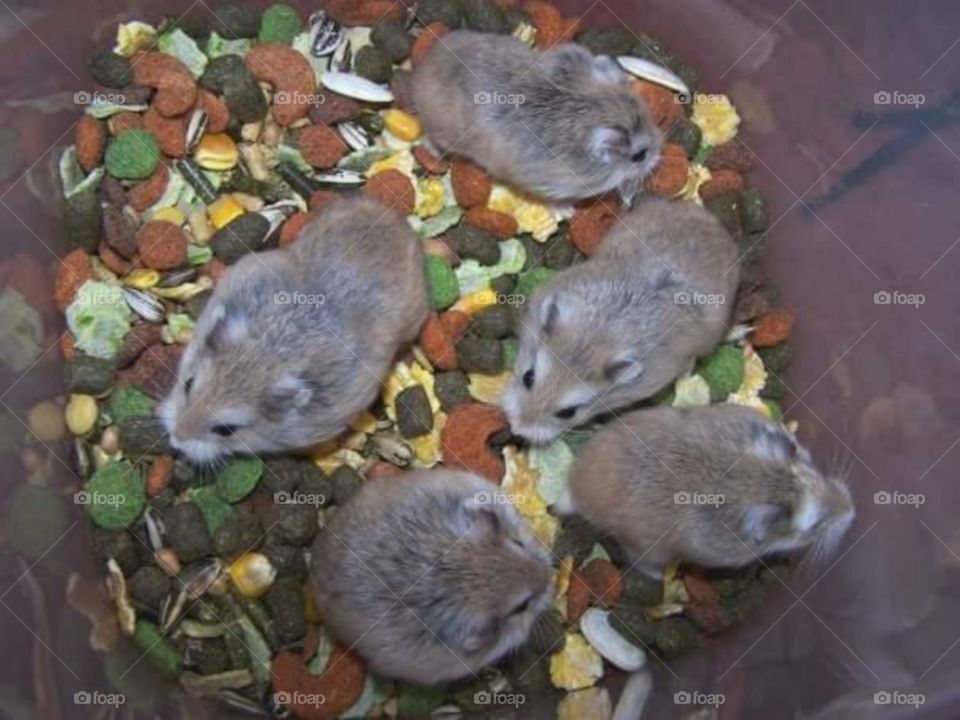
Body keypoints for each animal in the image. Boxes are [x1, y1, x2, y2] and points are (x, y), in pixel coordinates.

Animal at [411, 30, 661, 203]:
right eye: (639, 156)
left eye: (650, 116)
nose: (660, 156)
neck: (591, 110)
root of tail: (419, 75)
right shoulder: (547, 185)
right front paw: (567, 210)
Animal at [567, 404, 855, 577]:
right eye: (815, 525)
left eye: (816, 474)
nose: (852, 512)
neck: (761, 482)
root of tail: (575, 486)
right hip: (648, 550)